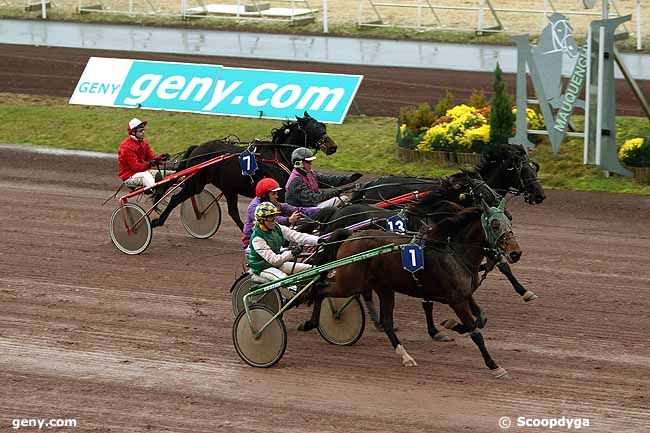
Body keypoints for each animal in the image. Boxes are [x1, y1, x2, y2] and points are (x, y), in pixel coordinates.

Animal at [150, 113, 336, 231]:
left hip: (228, 187)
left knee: (232, 211)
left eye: (323, 126)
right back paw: (156, 222)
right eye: (314, 128)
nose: (333, 147)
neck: (279, 155)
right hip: (196, 182)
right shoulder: (280, 192)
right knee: (175, 198)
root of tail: (198, 148)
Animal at [302, 199, 520, 378]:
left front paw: (451, 325)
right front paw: (494, 366)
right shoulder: (456, 300)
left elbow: (481, 318)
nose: (516, 253)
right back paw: (313, 321)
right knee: (321, 289)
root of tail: (350, 236)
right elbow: (476, 333)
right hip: (348, 283)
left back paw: (405, 355)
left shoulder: (465, 295)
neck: (454, 253)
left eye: (509, 222)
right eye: (495, 224)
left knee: (387, 322)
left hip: (384, 288)